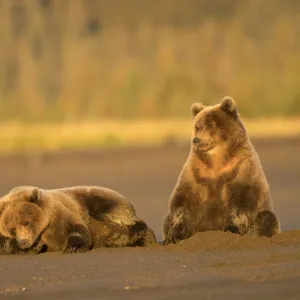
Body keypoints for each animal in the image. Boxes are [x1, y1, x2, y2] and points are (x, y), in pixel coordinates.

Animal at [0, 184, 158, 254]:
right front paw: (35, 247)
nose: (24, 242)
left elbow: (77, 228)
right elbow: (6, 245)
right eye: (12, 228)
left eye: (26, 222)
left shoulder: (60, 214)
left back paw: (140, 234)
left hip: (99, 199)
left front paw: (73, 247)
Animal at [163, 96, 280, 244]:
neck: (216, 161)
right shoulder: (195, 172)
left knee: (268, 218)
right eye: (197, 126)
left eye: (209, 123)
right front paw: (173, 236)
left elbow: (243, 202)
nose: (196, 140)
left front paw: (232, 229)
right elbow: (181, 203)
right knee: (166, 219)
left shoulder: (242, 169)